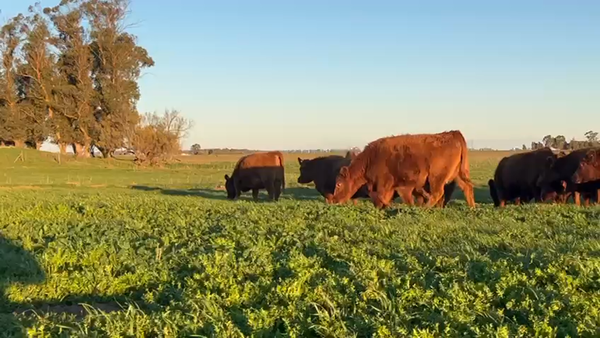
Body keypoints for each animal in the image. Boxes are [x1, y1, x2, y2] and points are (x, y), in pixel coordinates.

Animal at [328, 130, 474, 207]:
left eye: (339, 184)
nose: (334, 200)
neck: (371, 158)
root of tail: (452, 133)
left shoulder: (385, 184)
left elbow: (381, 197)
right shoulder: (401, 186)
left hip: (436, 177)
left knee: (438, 193)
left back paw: (425, 209)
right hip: (457, 175)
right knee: (467, 187)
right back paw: (472, 208)